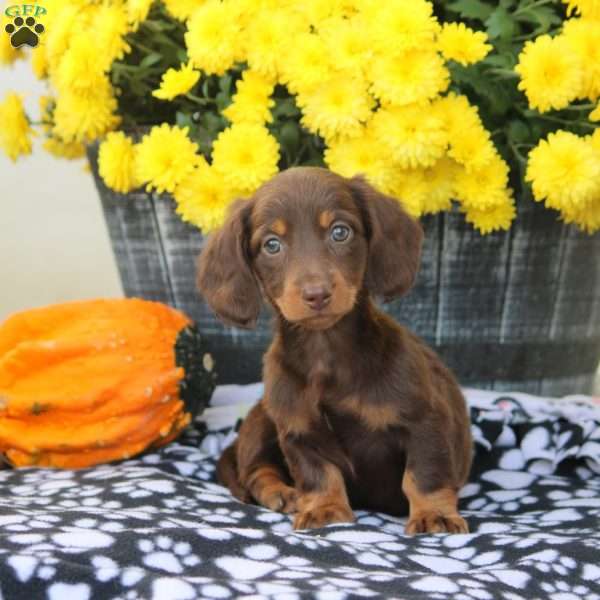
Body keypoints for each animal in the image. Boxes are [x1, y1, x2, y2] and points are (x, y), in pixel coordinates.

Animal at [197, 168, 474, 536]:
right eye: (271, 244)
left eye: (340, 232)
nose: (317, 294)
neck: (326, 353)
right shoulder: (298, 432)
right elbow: (319, 476)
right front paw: (324, 509)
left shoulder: (425, 421)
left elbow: (424, 475)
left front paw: (434, 515)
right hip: (263, 418)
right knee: (253, 470)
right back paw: (283, 493)